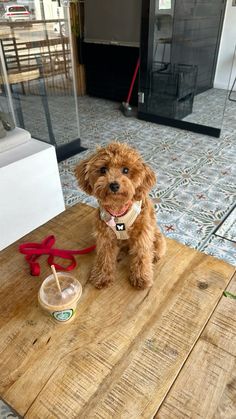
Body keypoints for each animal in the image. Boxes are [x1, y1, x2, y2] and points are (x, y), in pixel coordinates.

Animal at [76, 143, 166, 290]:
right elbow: (104, 257)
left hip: (156, 237)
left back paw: (154, 256)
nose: (114, 185)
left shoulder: (142, 235)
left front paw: (141, 278)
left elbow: (142, 256)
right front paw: (102, 277)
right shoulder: (105, 238)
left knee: (155, 250)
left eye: (126, 170)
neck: (118, 211)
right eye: (103, 169)